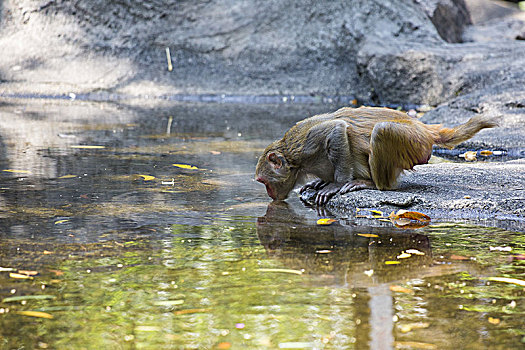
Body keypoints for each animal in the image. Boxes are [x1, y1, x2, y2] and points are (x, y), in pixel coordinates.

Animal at [256, 106, 498, 205]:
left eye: (263, 181)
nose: (269, 194)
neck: (295, 162)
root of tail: (424, 128)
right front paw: (320, 182)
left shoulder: (305, 145)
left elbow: (337, 130)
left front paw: (335, 184)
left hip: (415, 143)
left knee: (382, 130)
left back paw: (374, 184)